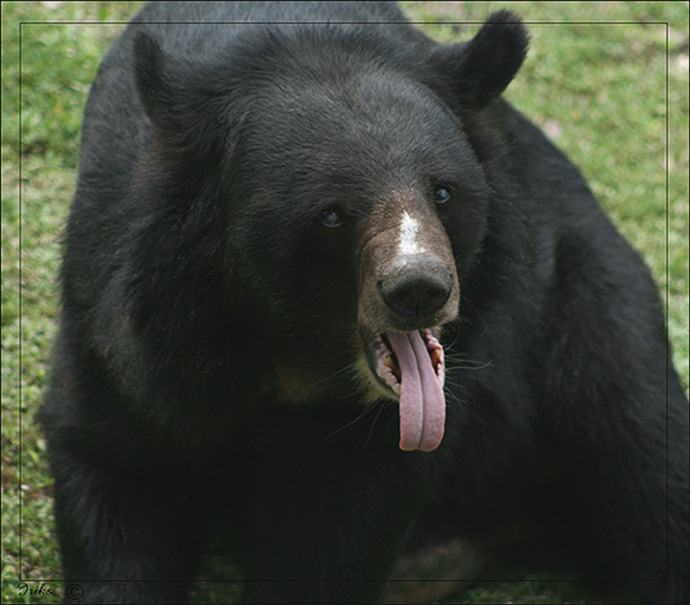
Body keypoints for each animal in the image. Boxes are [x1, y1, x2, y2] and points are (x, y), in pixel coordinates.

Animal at [39, 1, 689, 604]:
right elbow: (117, 462)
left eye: (444, 192)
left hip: (589, 302)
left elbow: (332, 531)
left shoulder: (374, 437)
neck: (296, 352)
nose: (420, 289)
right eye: (330, 215)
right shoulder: (126, 324)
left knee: (638, 452)